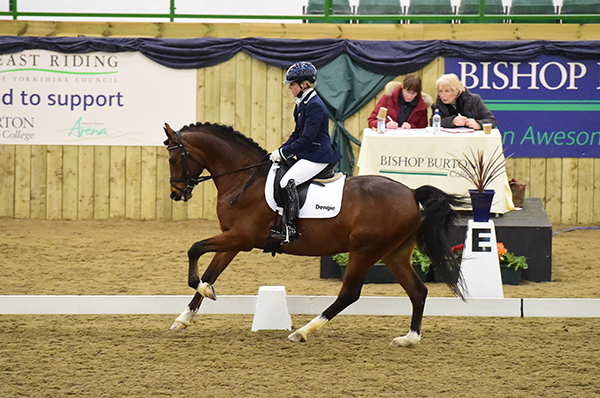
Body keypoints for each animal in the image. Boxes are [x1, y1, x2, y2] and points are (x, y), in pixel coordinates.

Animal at [164, 122, 468, 348]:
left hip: (365, 251)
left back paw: (303, 331)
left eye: (172, 158)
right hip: (395, 254)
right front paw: (184, 317)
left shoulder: (241, 238)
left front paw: (203, 290)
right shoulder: (233, 239)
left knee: (349, 294)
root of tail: (411, 193)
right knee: (418, 291)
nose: (176, 194)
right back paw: (409, 339)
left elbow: (194, 249)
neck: (244, 179)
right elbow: (211, 271)